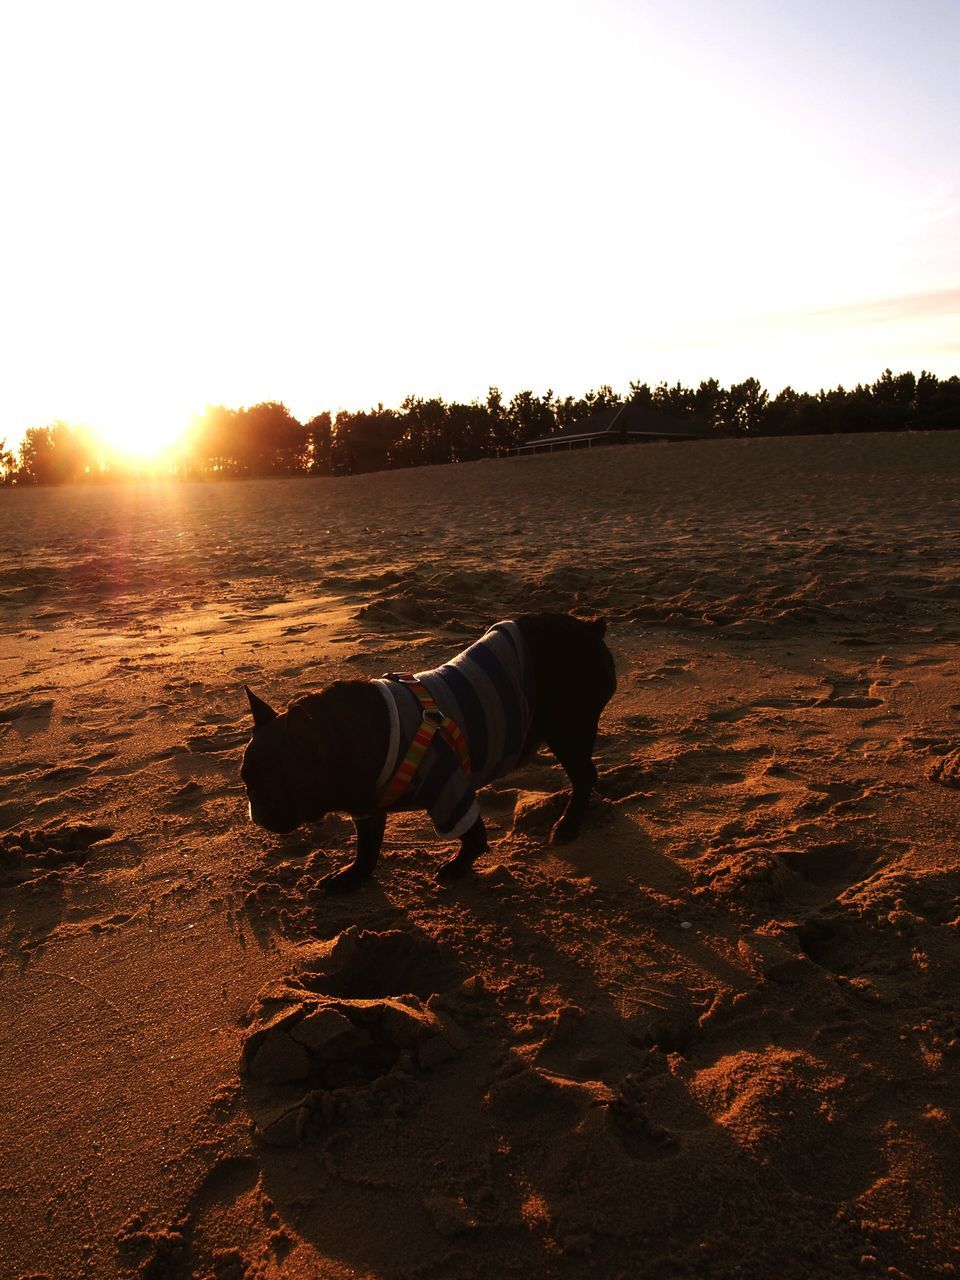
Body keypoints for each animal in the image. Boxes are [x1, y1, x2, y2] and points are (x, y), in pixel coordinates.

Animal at [240, 609, 616, 890]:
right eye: (245, 780)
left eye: (276, 787)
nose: (254, 808)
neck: (342, 737)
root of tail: (589, 629)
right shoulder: (367, 806)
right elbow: (367, 847)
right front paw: (353, 877)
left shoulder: (447, 789)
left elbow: (473, 835)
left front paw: (458, 867)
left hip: (569, 728)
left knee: (584, 774)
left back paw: (568, 824)